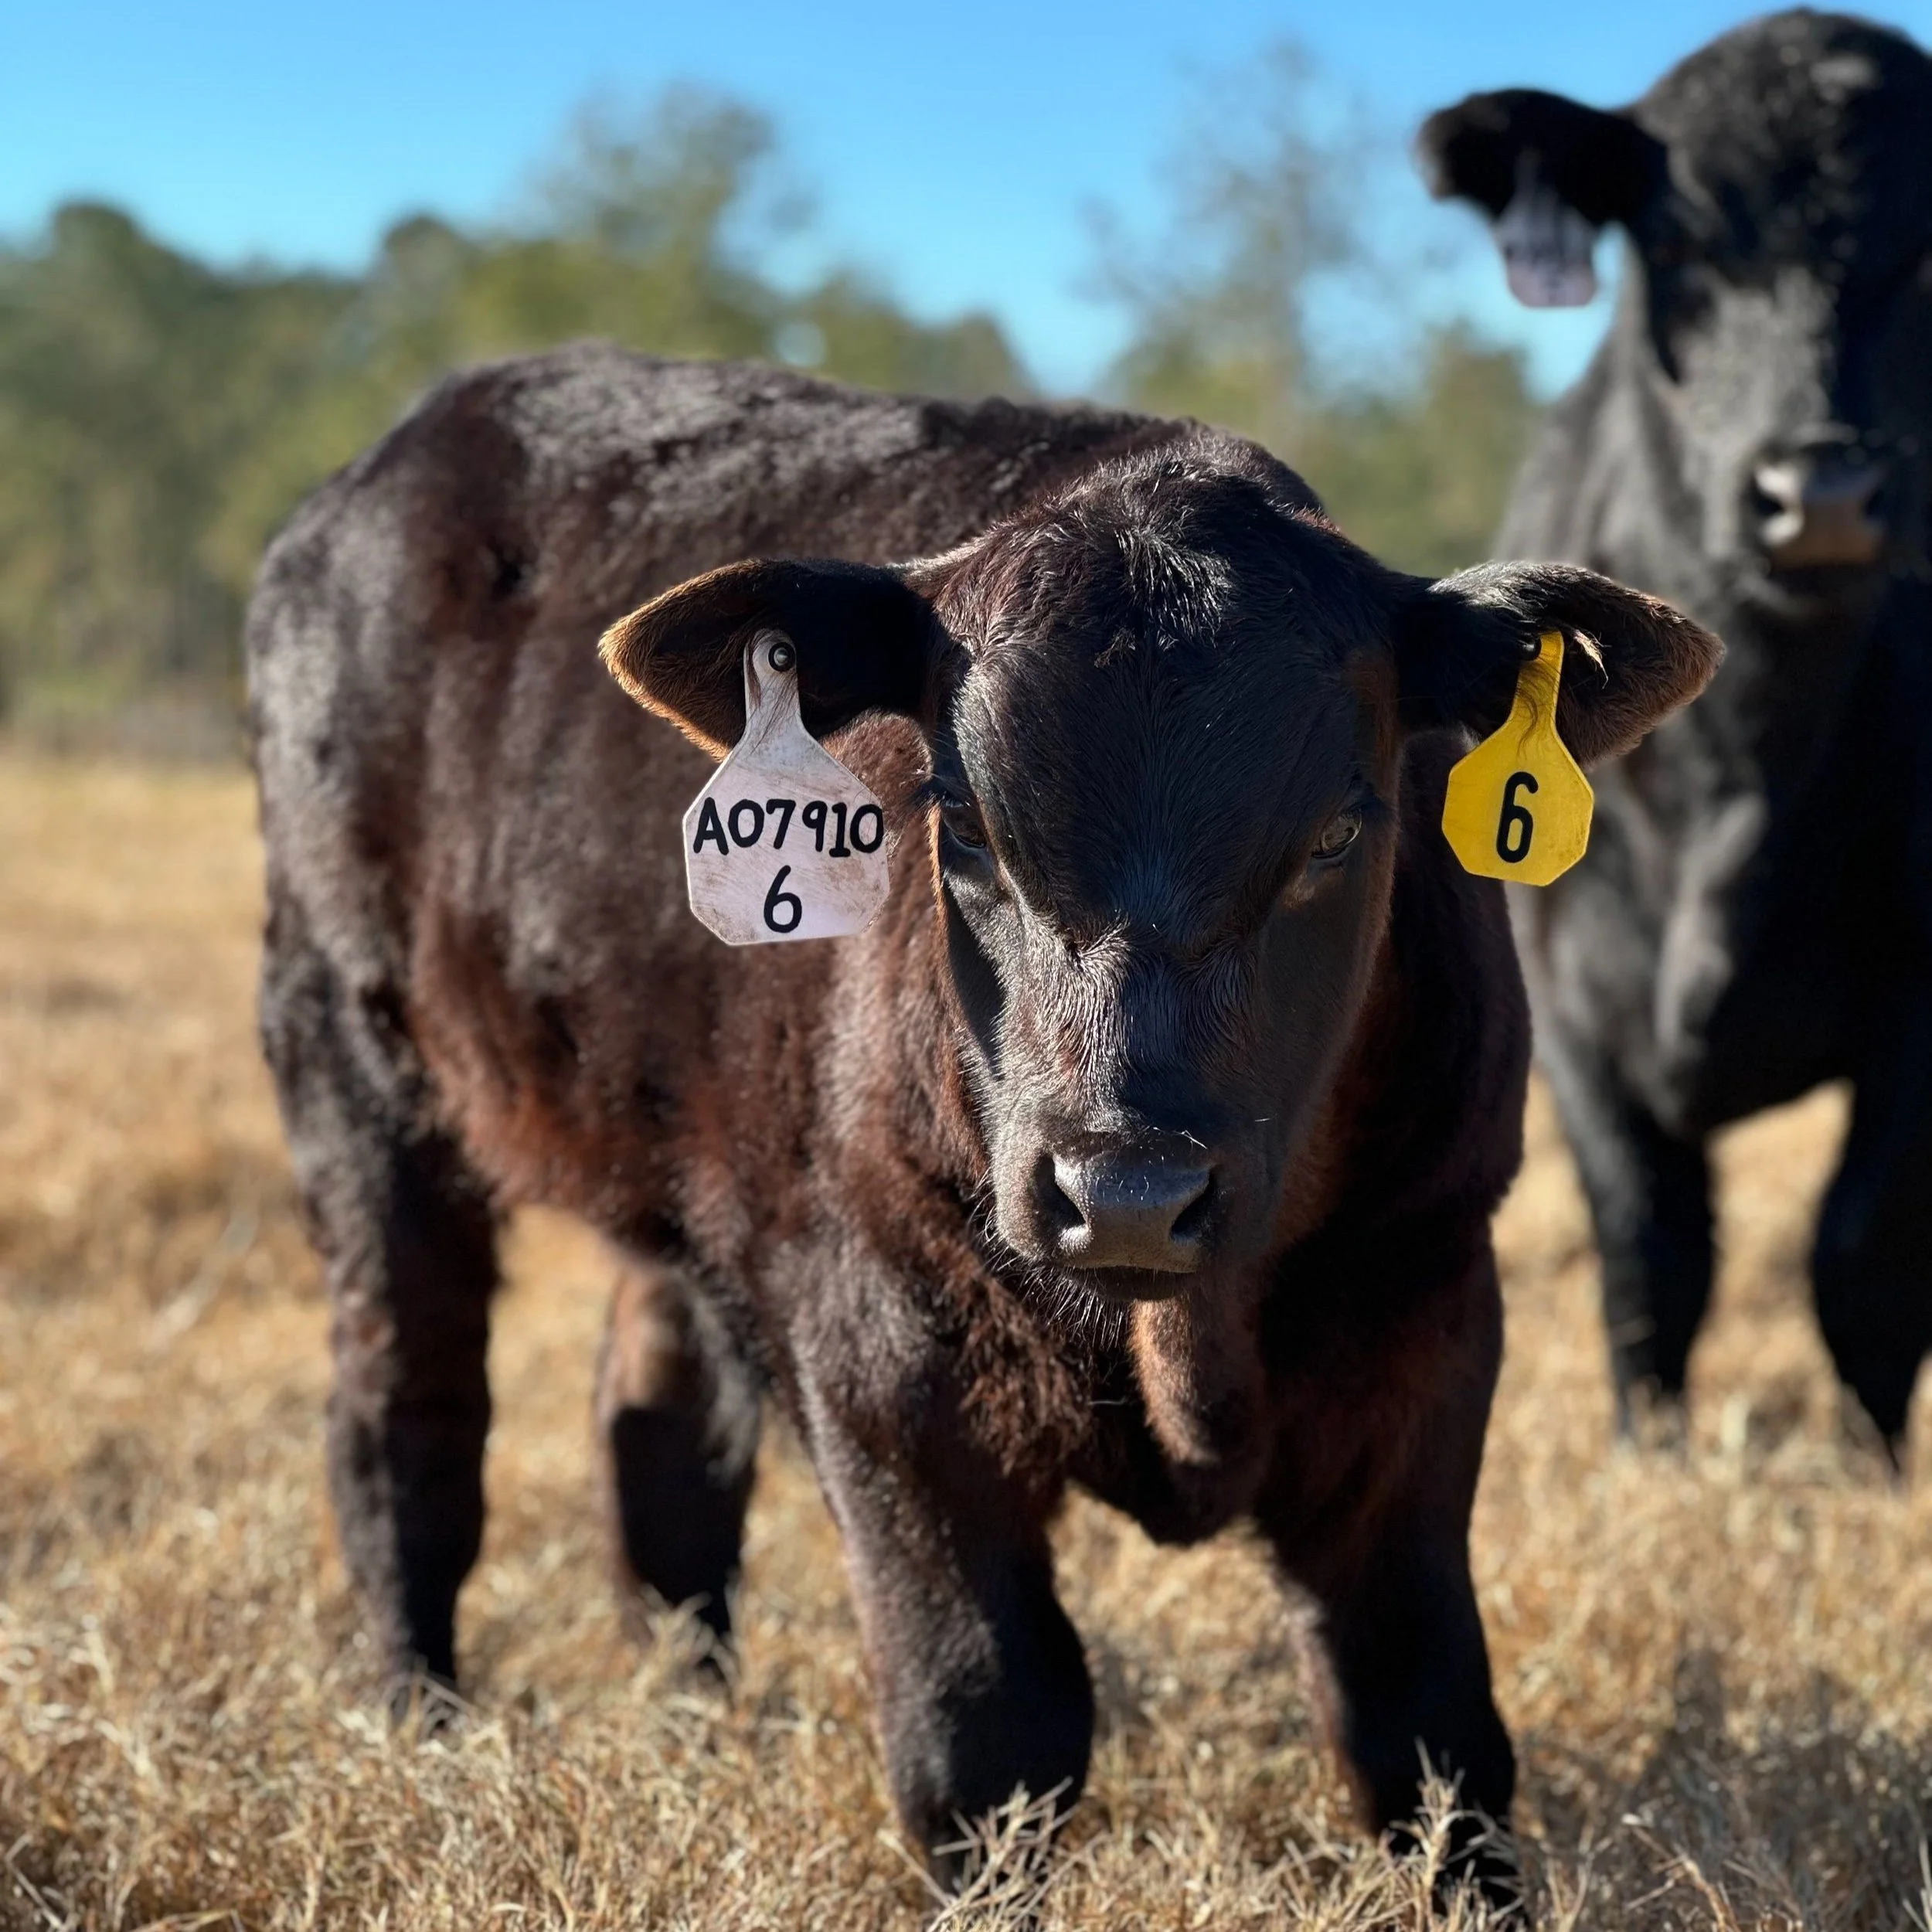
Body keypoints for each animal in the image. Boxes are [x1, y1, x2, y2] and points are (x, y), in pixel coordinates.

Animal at [247, 345, 1717, 1893]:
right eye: (961, 820)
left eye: (1337, 829)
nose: (1125, 1190)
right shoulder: (878, 1341)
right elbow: (987, 1731)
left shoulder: (1429, 1309)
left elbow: (1427, 1732)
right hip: (347, 1064)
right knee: (405, 1424)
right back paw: (419, 1724)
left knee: (654, 1438)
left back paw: (694, 1718)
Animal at [1420, 10, 1932, 1456]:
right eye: (1684, 248)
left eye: (1928, 250)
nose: (1823, 490)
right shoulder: (1567, 990)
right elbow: (1650, 1246)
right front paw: (1648, 1448)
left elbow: (1863, 1248)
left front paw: (1875, 1467)